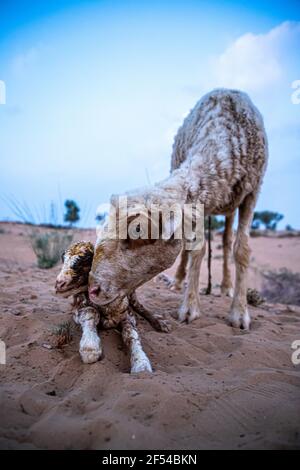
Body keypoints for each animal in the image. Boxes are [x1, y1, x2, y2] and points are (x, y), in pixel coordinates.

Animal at [54, 242, 169, 370]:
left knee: (140, 307)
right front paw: (90, 348)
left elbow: (131, 335)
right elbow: (90, 312)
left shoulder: (128, 316)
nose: (59, 283)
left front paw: (141, 364)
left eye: (86, 259)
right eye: (63, 259)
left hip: (132, 294)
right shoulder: (77, 307)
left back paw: (160, 324)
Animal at [88, 88, 268, 330]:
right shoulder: (200, 205)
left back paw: (226, 286)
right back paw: (179, 280)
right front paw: (190, 307)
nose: (92, 290)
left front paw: (239, 313)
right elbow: (197, 250)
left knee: (226, 239)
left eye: (138, 231)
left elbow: (242, 250)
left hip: (229, 206)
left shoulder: (253, 191)